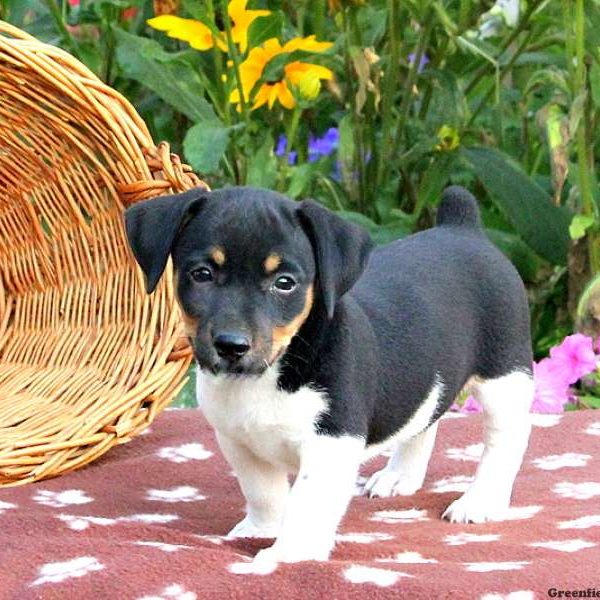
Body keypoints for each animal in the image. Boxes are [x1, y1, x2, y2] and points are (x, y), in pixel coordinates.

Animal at [124, 185, 532, 564]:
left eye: (284, 282)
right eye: (202, 274)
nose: (231, 345)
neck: (272, 372)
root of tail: (462, 226)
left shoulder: (331, 441)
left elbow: (308, 503)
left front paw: (289, 554)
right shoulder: (238, 441)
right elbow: (262, 491)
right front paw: (261, 528)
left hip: (505, 377)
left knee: (506, 440)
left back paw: (480, 501)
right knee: (426, 419)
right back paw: (400, 476)